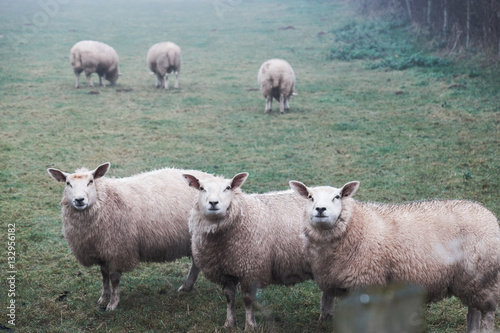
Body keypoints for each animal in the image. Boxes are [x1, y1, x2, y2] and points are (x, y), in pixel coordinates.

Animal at [46, 162, 211, 310]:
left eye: (91, 181)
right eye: (68, 183)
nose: (79, 200)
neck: (105, 201)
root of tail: (210, 176)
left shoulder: (117, 250)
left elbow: (114, 279)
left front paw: (112, 304)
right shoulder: (101, 250)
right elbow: (104, 276)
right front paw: (103, 298)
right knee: (196, 263)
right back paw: (186, 288)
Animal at [182, 171, 310, 330]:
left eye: (228, 188)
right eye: (201, 188)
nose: (213, 203)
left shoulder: (251, 269)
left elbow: (248, 299)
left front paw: (250, 326)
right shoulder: (225, 271)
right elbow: (229, 297)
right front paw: (229, 323)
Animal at [288, 180, 500, 330]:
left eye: (337, 196)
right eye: (309, 197)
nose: (320, 209)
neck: (355, 226)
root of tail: (489, 215)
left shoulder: (366, 282)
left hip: (484, 278)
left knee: (487, 313)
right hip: (472, 280)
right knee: (473, 311)